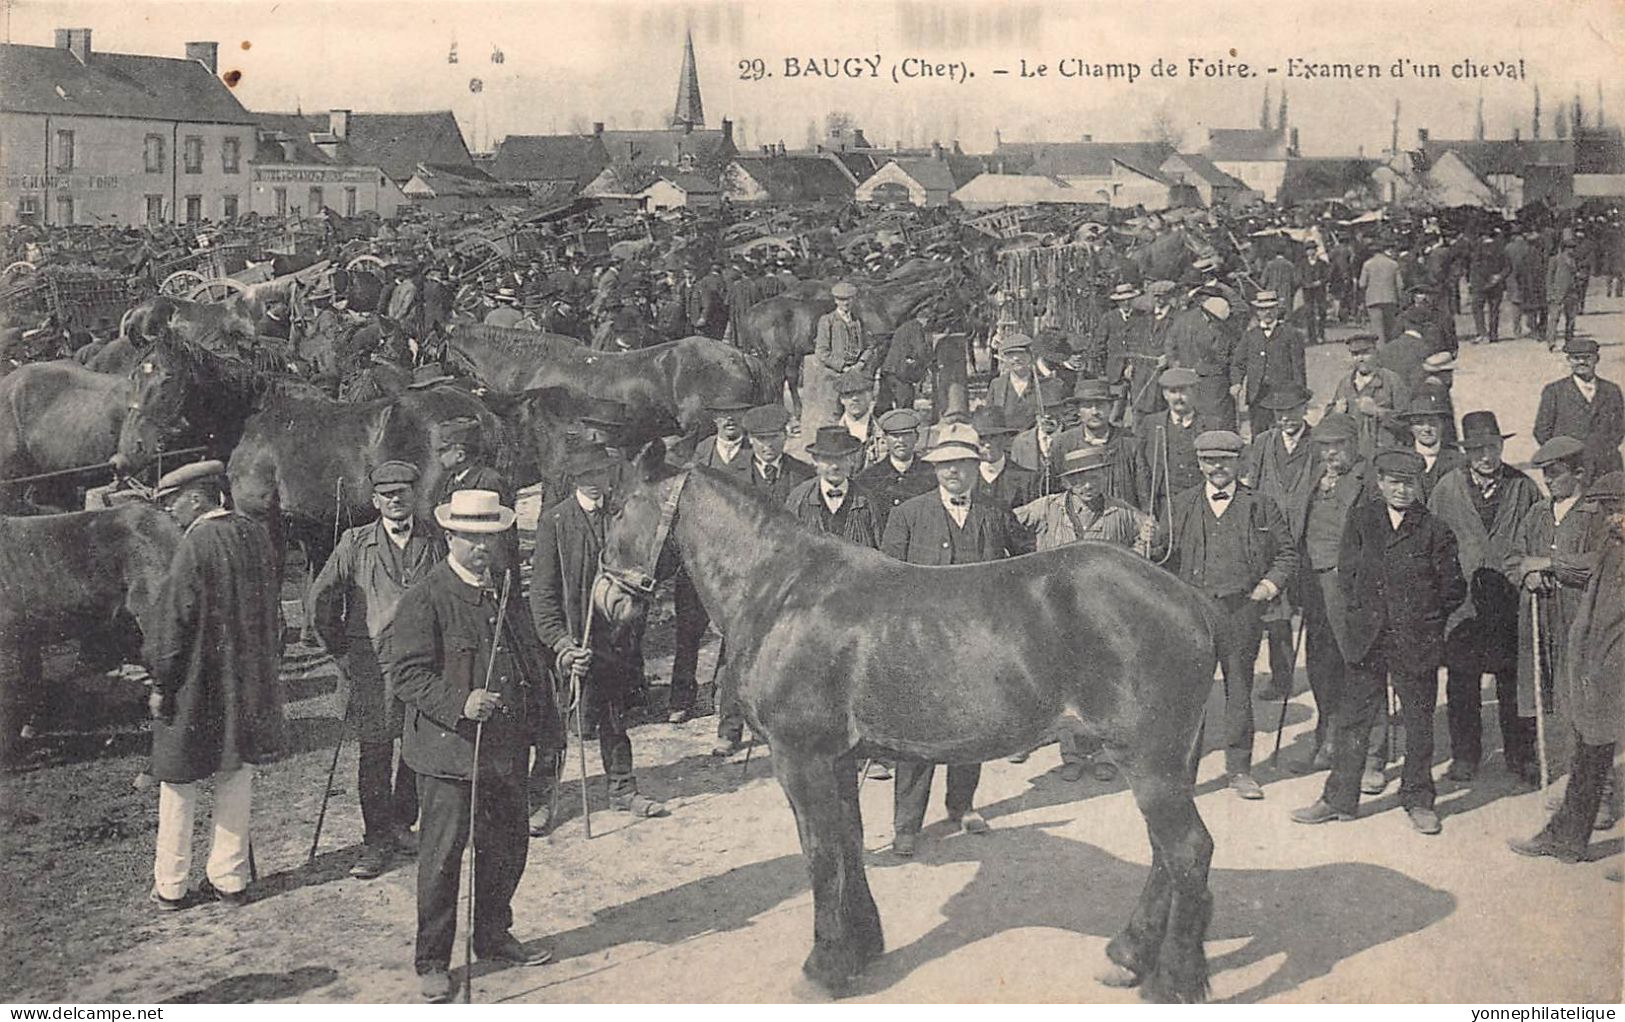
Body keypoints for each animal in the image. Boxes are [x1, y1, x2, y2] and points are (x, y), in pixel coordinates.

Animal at [598, 451, 1222, 1000]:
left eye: (620, 507)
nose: (606, 601)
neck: (784, 590)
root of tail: (1192, 600)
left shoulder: (800, 757)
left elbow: (820, 853)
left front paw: (822, 967)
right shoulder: (838, 760)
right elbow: (848, 845)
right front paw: (861, 949)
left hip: (1150, 762)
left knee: (1187, 851)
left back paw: (1171, 982)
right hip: (1164, 764)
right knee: (1166, 855)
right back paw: (1128, 956)